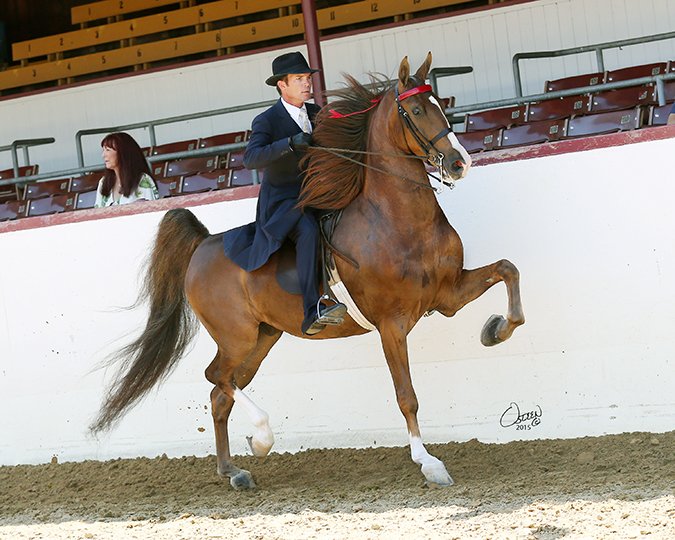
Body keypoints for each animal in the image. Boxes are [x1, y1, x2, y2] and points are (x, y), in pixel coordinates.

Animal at [91, 52, 524, 489]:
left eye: (441, 104)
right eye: (417, 110)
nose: (459, 163)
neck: (397, 219)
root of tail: (203, 244)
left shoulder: (447, 294)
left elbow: (508, 271)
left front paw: (496, 330)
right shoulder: (391, 323)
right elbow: (407, 396)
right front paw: (428, 462)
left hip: (263, 337)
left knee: (220, 394)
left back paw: (234, 470)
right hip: (236, 336)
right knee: (217, 377)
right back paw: (261, 437)